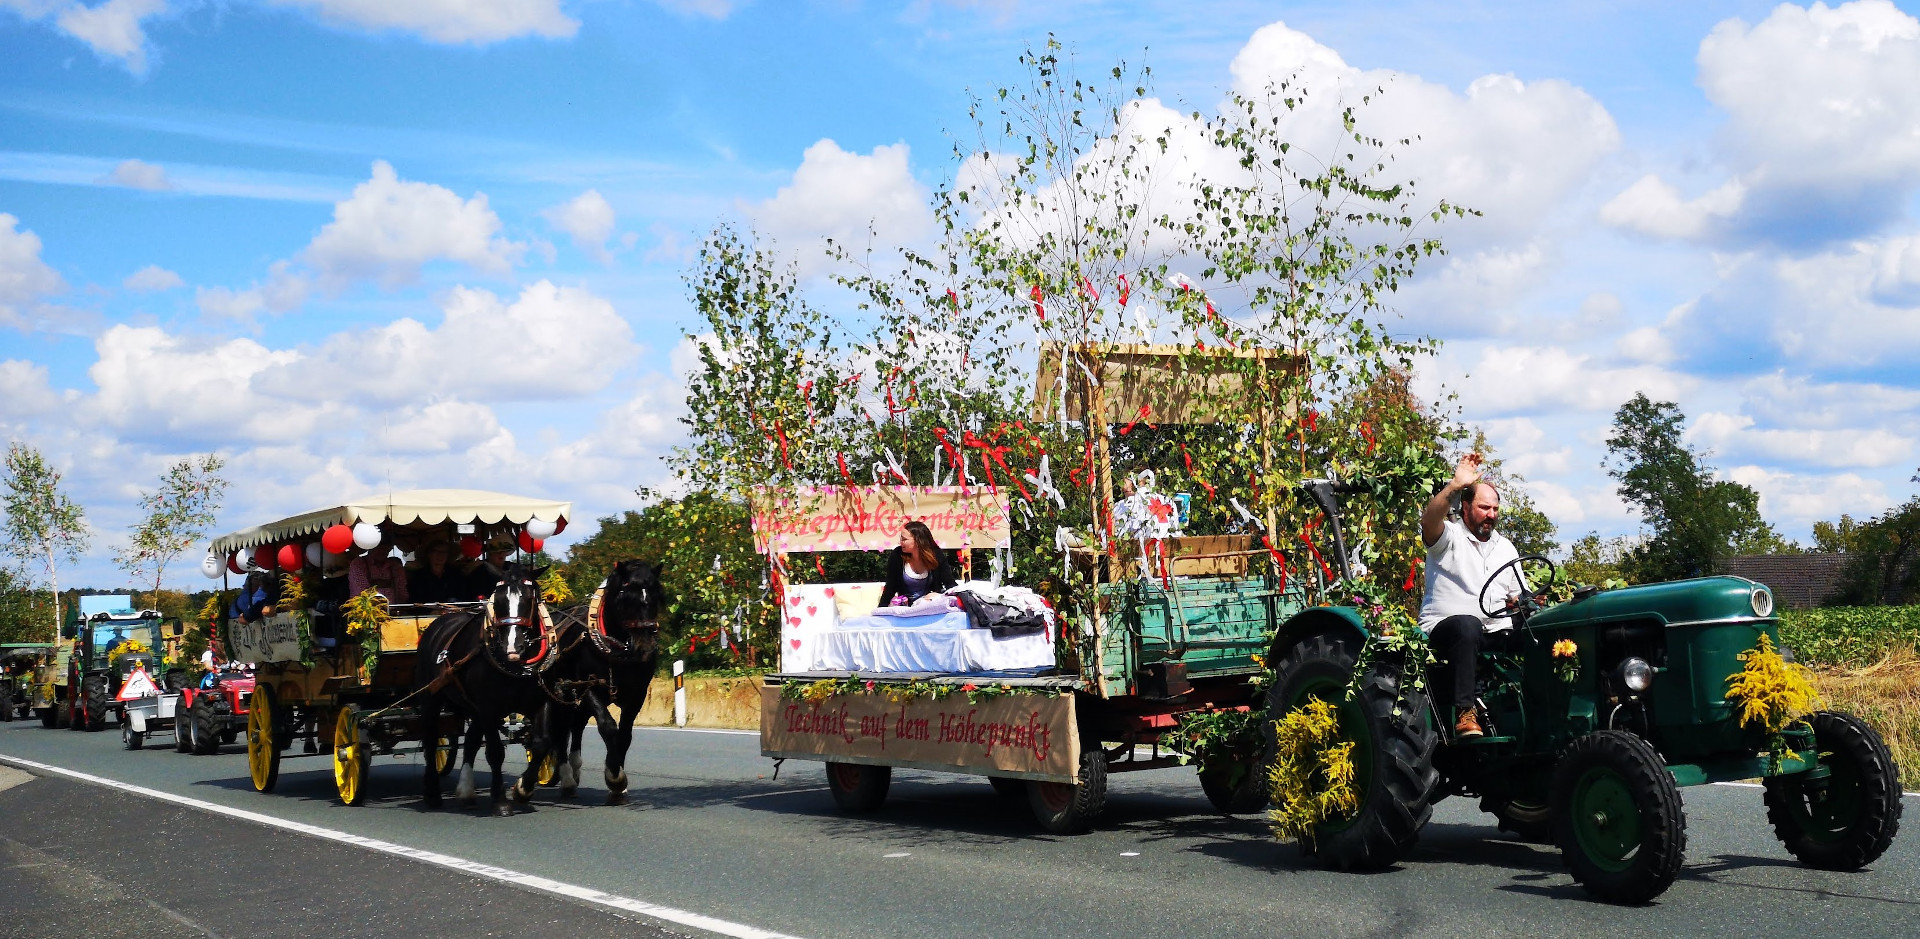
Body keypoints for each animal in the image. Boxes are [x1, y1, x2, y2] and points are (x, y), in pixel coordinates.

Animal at [410, 560, 552, 810]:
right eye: (499, 600)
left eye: (529, 598)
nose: (512, 646)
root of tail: (439, 621)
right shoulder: (488, 708)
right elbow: (495, 752)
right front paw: (500, 800)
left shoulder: (539, 702)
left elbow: (541, 745)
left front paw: (523, 790)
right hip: (431, 699)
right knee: (430, 741)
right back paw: (432, 794)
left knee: (470, 742)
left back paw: (465, 791)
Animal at [545, 560, 664, 802]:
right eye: (624, 597)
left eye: (656, 596)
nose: (645, 648)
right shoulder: (588, 686)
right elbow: (608, 727)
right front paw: (615, 778)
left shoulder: (636, 693)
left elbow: (624, 735)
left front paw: (617, 778)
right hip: (560, 693)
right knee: (559, 730)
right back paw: (566, 778)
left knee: (576, 725)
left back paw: (575, 769)